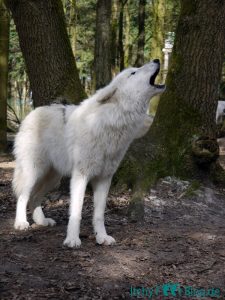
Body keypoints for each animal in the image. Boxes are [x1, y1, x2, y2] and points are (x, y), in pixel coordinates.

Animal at [13, 59, 166, 247]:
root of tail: (30, 114)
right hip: (33, 172)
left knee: (34, 198)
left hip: (53, 178)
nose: (157, 60)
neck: (112, 122)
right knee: (23, 196)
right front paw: (72, 239)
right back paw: (21, 223)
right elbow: (76, 212)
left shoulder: (104, 179)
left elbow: (99, 215)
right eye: (133, 73)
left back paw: (42, 221)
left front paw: (102, 237)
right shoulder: (80, 176)